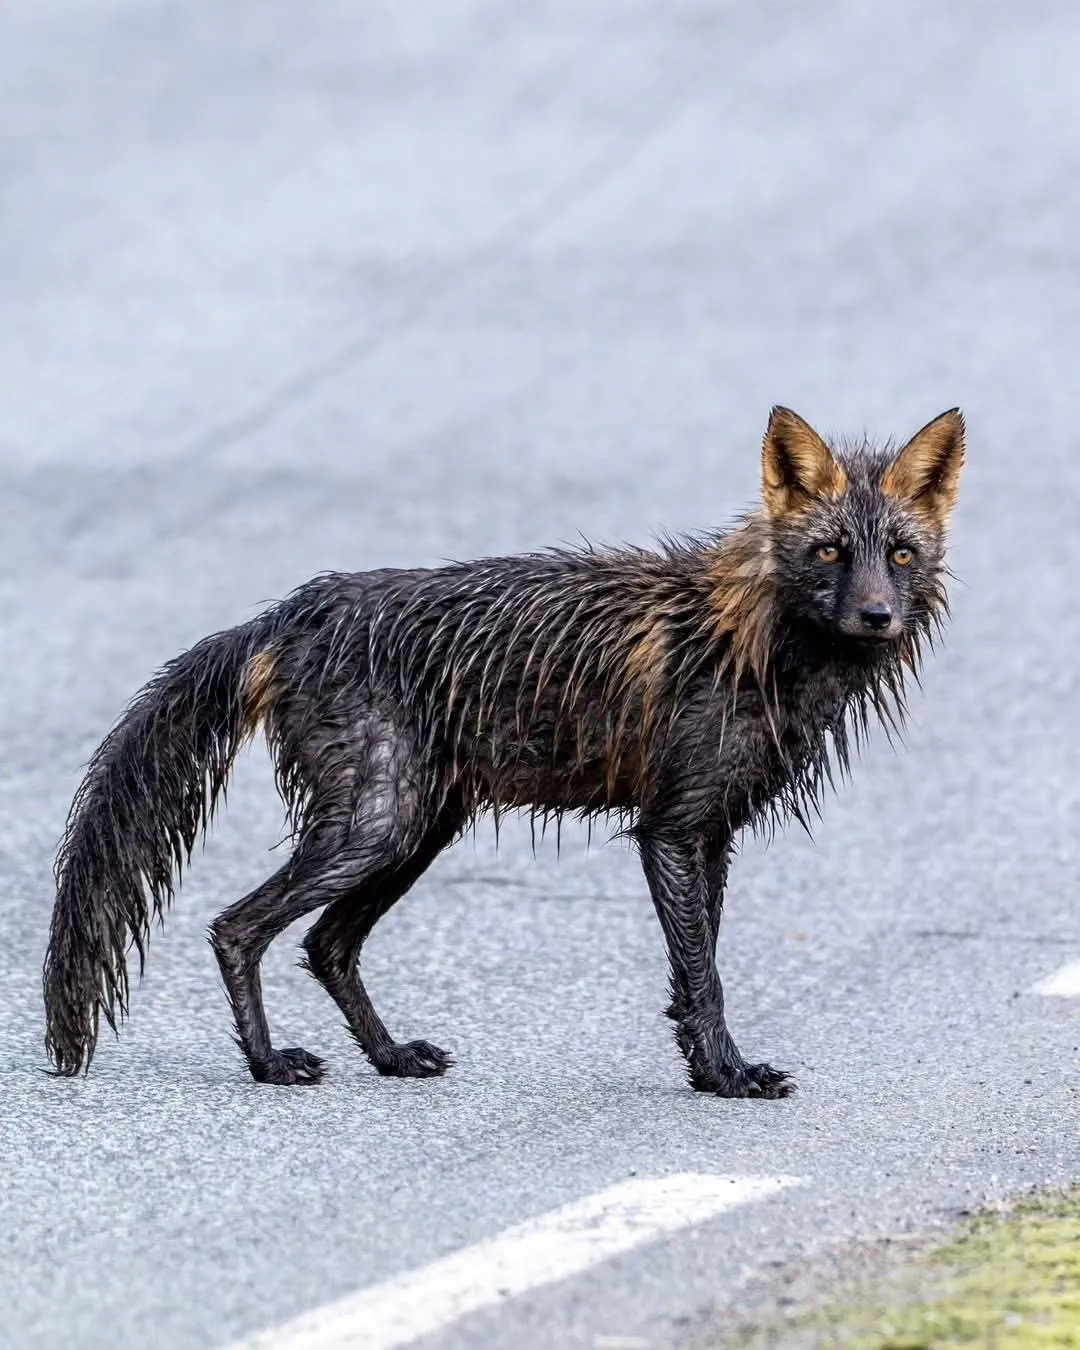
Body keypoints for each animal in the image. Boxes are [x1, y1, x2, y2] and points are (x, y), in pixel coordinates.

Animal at [43, 406, 964, 1098]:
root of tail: (295, 610)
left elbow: (696, 968)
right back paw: (271, 1064)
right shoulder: (671, 828)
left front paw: (709, 1073)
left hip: (415, 831)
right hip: (377, 826)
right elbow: (704, 973)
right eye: (830, 552)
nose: (877, 616)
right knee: (238, 927)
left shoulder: (714, 832)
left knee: (327, 945)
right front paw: (728, 1076)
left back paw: (392, 1057)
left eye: (901, 555)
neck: (758, 645)